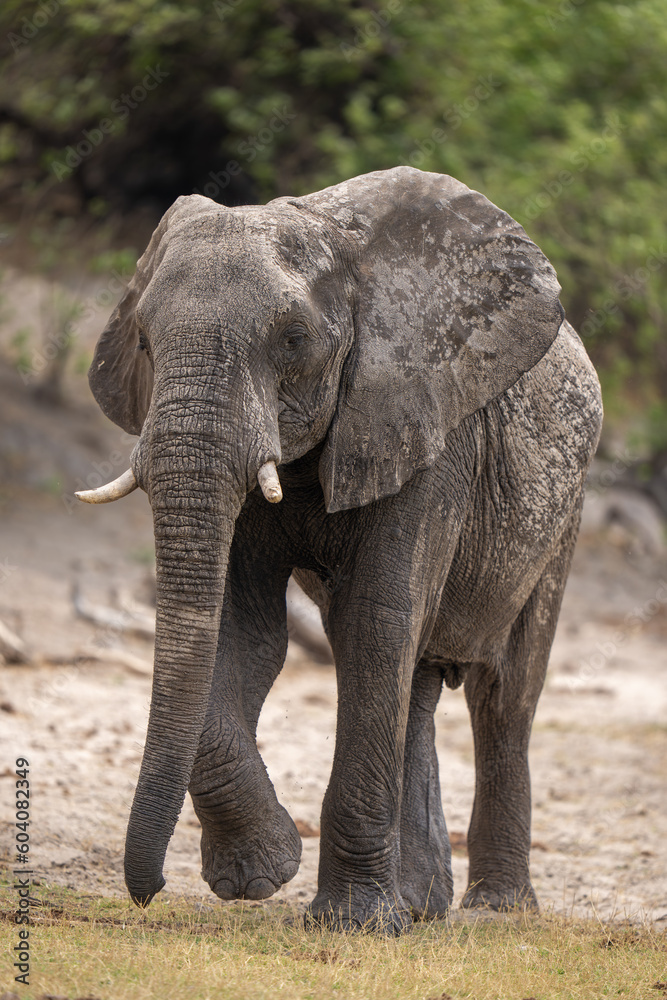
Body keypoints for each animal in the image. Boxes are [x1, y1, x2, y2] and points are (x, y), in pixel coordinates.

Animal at [78, 166, 604, 936]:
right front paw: (261, 874)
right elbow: (247, 632)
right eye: (144, 340)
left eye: (294, 338)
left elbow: (374, 625)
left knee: (504, 694)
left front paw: (351, 923)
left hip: (564, 508)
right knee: (416, 680)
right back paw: (417, 906)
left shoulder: (424, 425)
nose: (148, 893)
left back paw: (495, 911)